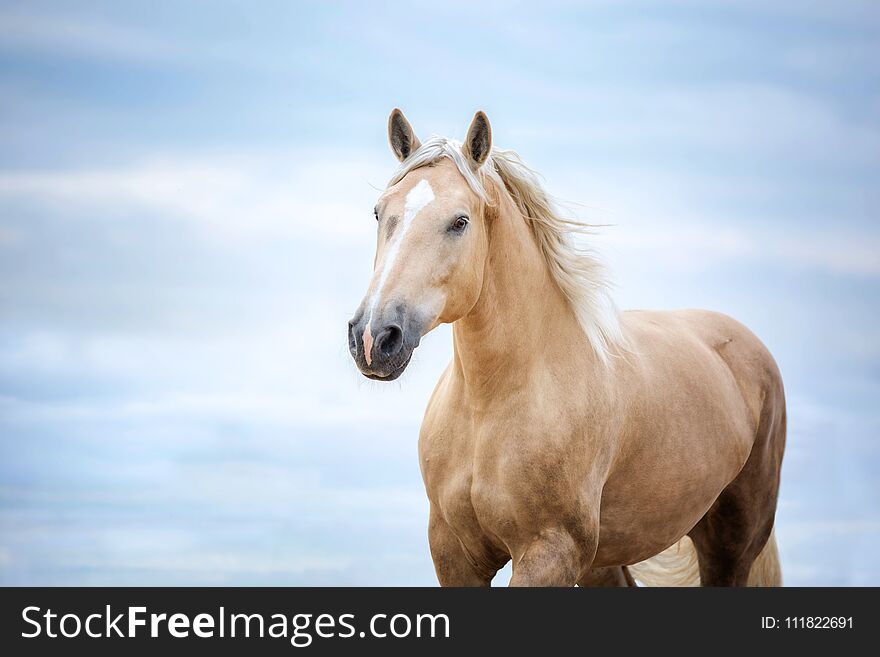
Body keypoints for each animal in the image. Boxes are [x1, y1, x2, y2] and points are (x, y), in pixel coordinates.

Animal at [348, 110, 788, 588]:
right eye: (379, 213)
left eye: (460, 221)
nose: (373, 337)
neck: (491, 406)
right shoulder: (454, 555)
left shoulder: (549, 553)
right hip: (606, 560)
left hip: (731, 544)